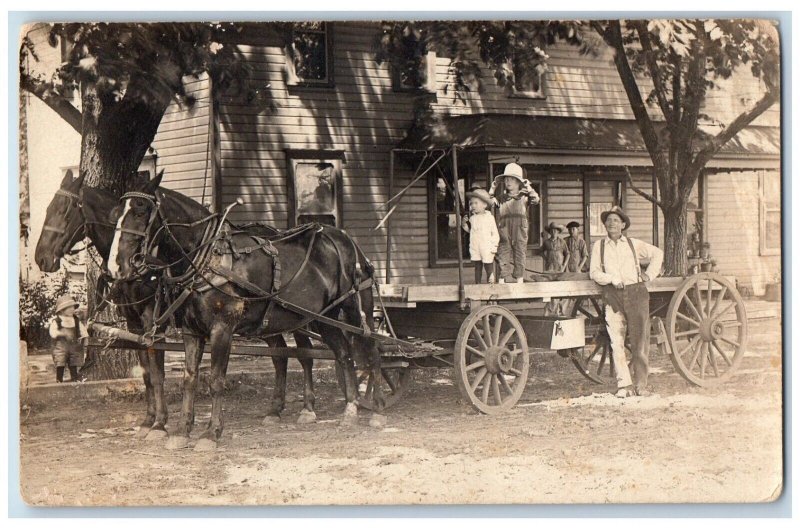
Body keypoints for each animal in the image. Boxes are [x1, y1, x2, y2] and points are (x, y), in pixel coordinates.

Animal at [108, 170, 382, 450]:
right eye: (115, 212)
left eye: (141, 210)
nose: (117, 266)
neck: (208, 257)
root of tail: (346, 240)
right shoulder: (190, 330)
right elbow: (189, 378)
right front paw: (182, 430)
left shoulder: (222, 328)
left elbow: (215, 379)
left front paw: (211, 432)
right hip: (323, 318)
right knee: (343, 353)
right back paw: (350, 408)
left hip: (354, 309)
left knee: (370, 350)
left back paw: (377, 410)